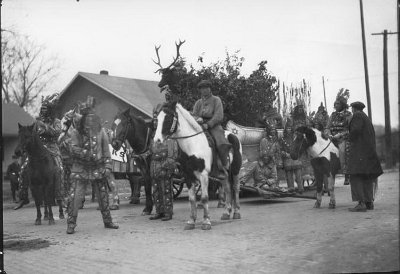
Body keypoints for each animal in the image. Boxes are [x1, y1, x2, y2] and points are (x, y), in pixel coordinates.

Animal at [152, 101, 241, 230]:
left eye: (168, 118)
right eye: (157, 120)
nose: (157, 140)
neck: (193, 145)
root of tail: (232, 135)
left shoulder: (203, 175)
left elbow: (204, 198)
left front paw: (206, 222)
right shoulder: (188, 175)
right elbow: (192, 198)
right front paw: (191, 221)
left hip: (235, 170)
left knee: (235, 188)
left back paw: (237, 212)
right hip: (223, 174)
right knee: (228, 189)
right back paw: (226, 213)